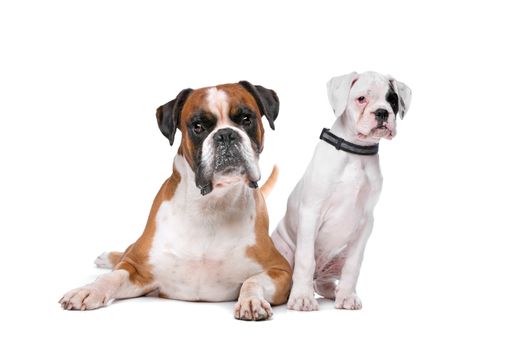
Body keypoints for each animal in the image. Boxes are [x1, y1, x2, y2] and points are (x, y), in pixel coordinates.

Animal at [272, 70, 412, 308]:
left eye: (392, 100)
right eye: (361, 99)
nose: (382, 112)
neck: (356, 152)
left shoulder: (365, 222)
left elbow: (353, 266)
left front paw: (346, 296)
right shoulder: (311, 212)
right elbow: (305, 260)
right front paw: (302, 298)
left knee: (322, 282)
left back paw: (335, 292)